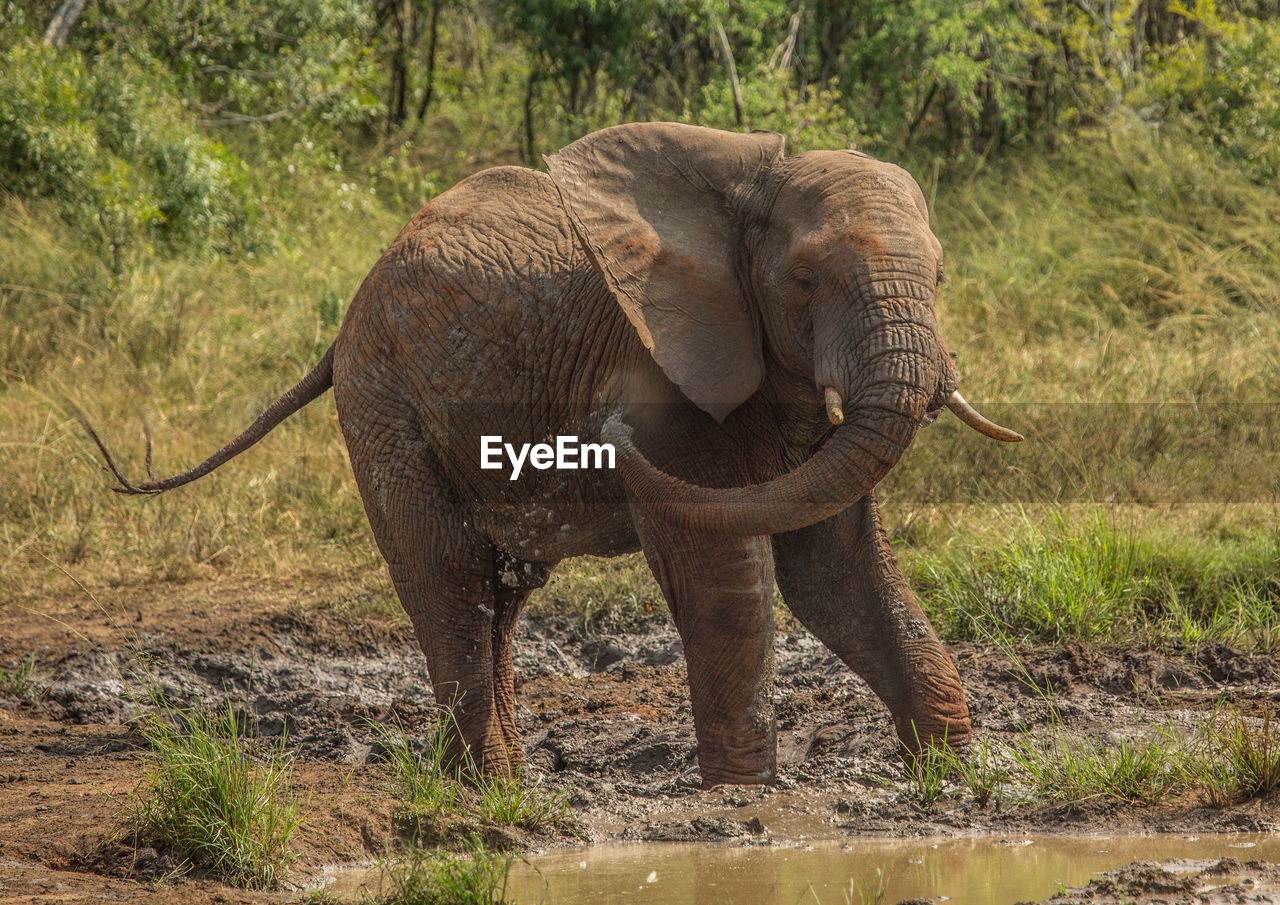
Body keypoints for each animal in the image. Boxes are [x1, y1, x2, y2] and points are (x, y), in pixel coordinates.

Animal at [85, 124, 1018, 788]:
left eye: (940, 277)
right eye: (803, 282)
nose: (604, 429)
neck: (741, 191)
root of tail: (352, 308)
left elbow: (837, 569)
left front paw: (955, 776)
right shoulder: (664, 376)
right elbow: (727, 575)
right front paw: (746, 795)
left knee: (499, 592)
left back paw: (504, 780)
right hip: (382, 404)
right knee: (447, 576)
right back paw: (494, 792)